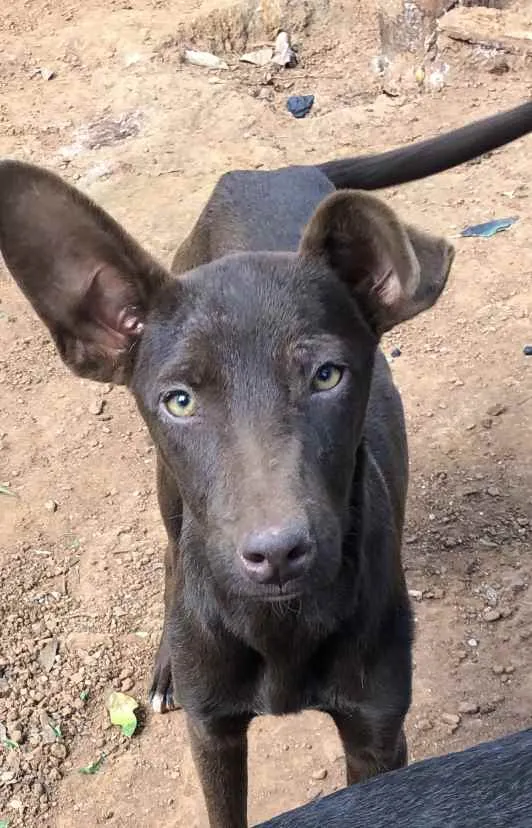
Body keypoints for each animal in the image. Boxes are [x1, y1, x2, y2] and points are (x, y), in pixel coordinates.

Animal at [0, 98, 528, 828]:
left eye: (327, 375)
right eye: (180, 400)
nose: (277, 553)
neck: (280, 626)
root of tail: (266, 171)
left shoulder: (377, 735)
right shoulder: (214, 734)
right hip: (168, 492)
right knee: (172, 550)